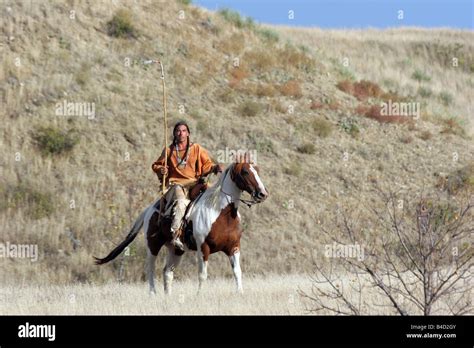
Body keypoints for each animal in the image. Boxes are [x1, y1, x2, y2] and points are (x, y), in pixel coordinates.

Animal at [94, 162, 268, 292]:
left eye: (257, 170)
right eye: (245, 172)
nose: (262, 193)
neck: (220, 212)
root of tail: (149, 210)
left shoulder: (234, 248)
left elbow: (237, 272)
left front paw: (240, 293)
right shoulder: (203, 248)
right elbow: (202, 275)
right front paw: (199, 296)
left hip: (176, 250)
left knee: (167, 272)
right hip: (153, 246)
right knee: (150, 269)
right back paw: (153, 294)